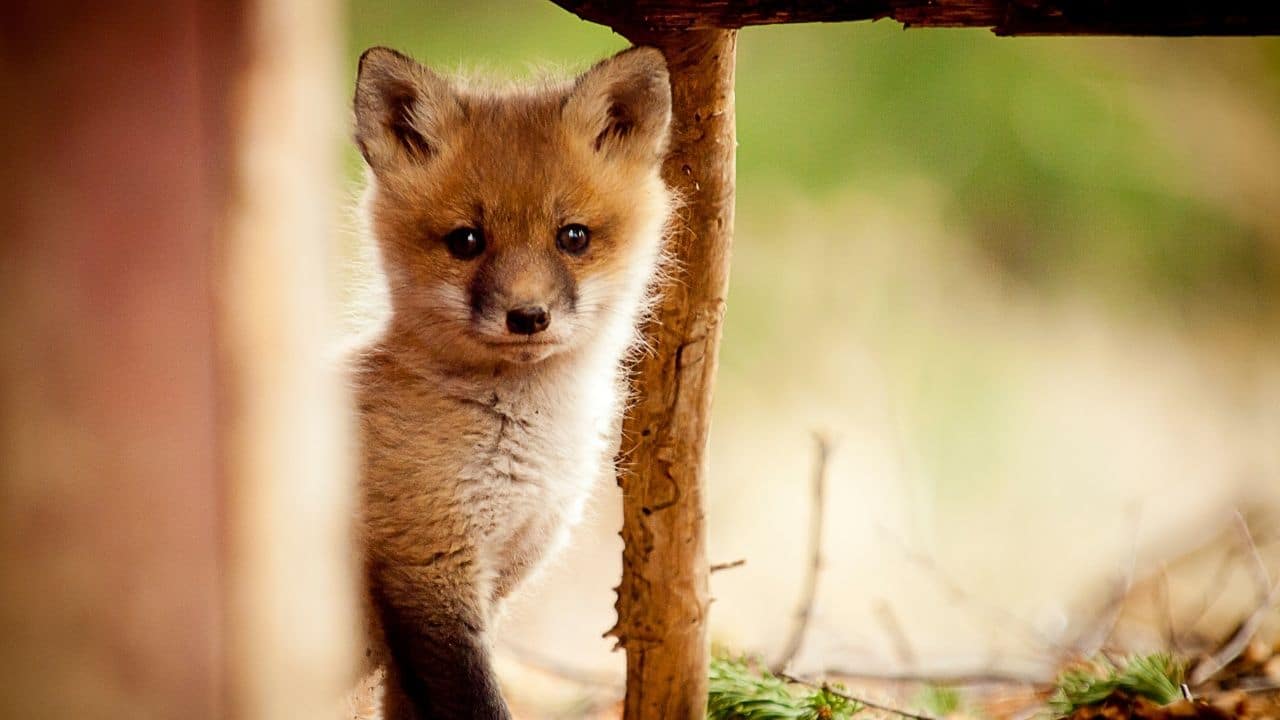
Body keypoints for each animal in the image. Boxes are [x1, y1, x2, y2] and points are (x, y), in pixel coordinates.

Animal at [348, 44, 674, 719]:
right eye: (466, 240)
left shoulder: (493, 579)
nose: (527, 317)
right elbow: (481, 702)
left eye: (573, 236)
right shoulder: (426, 570)